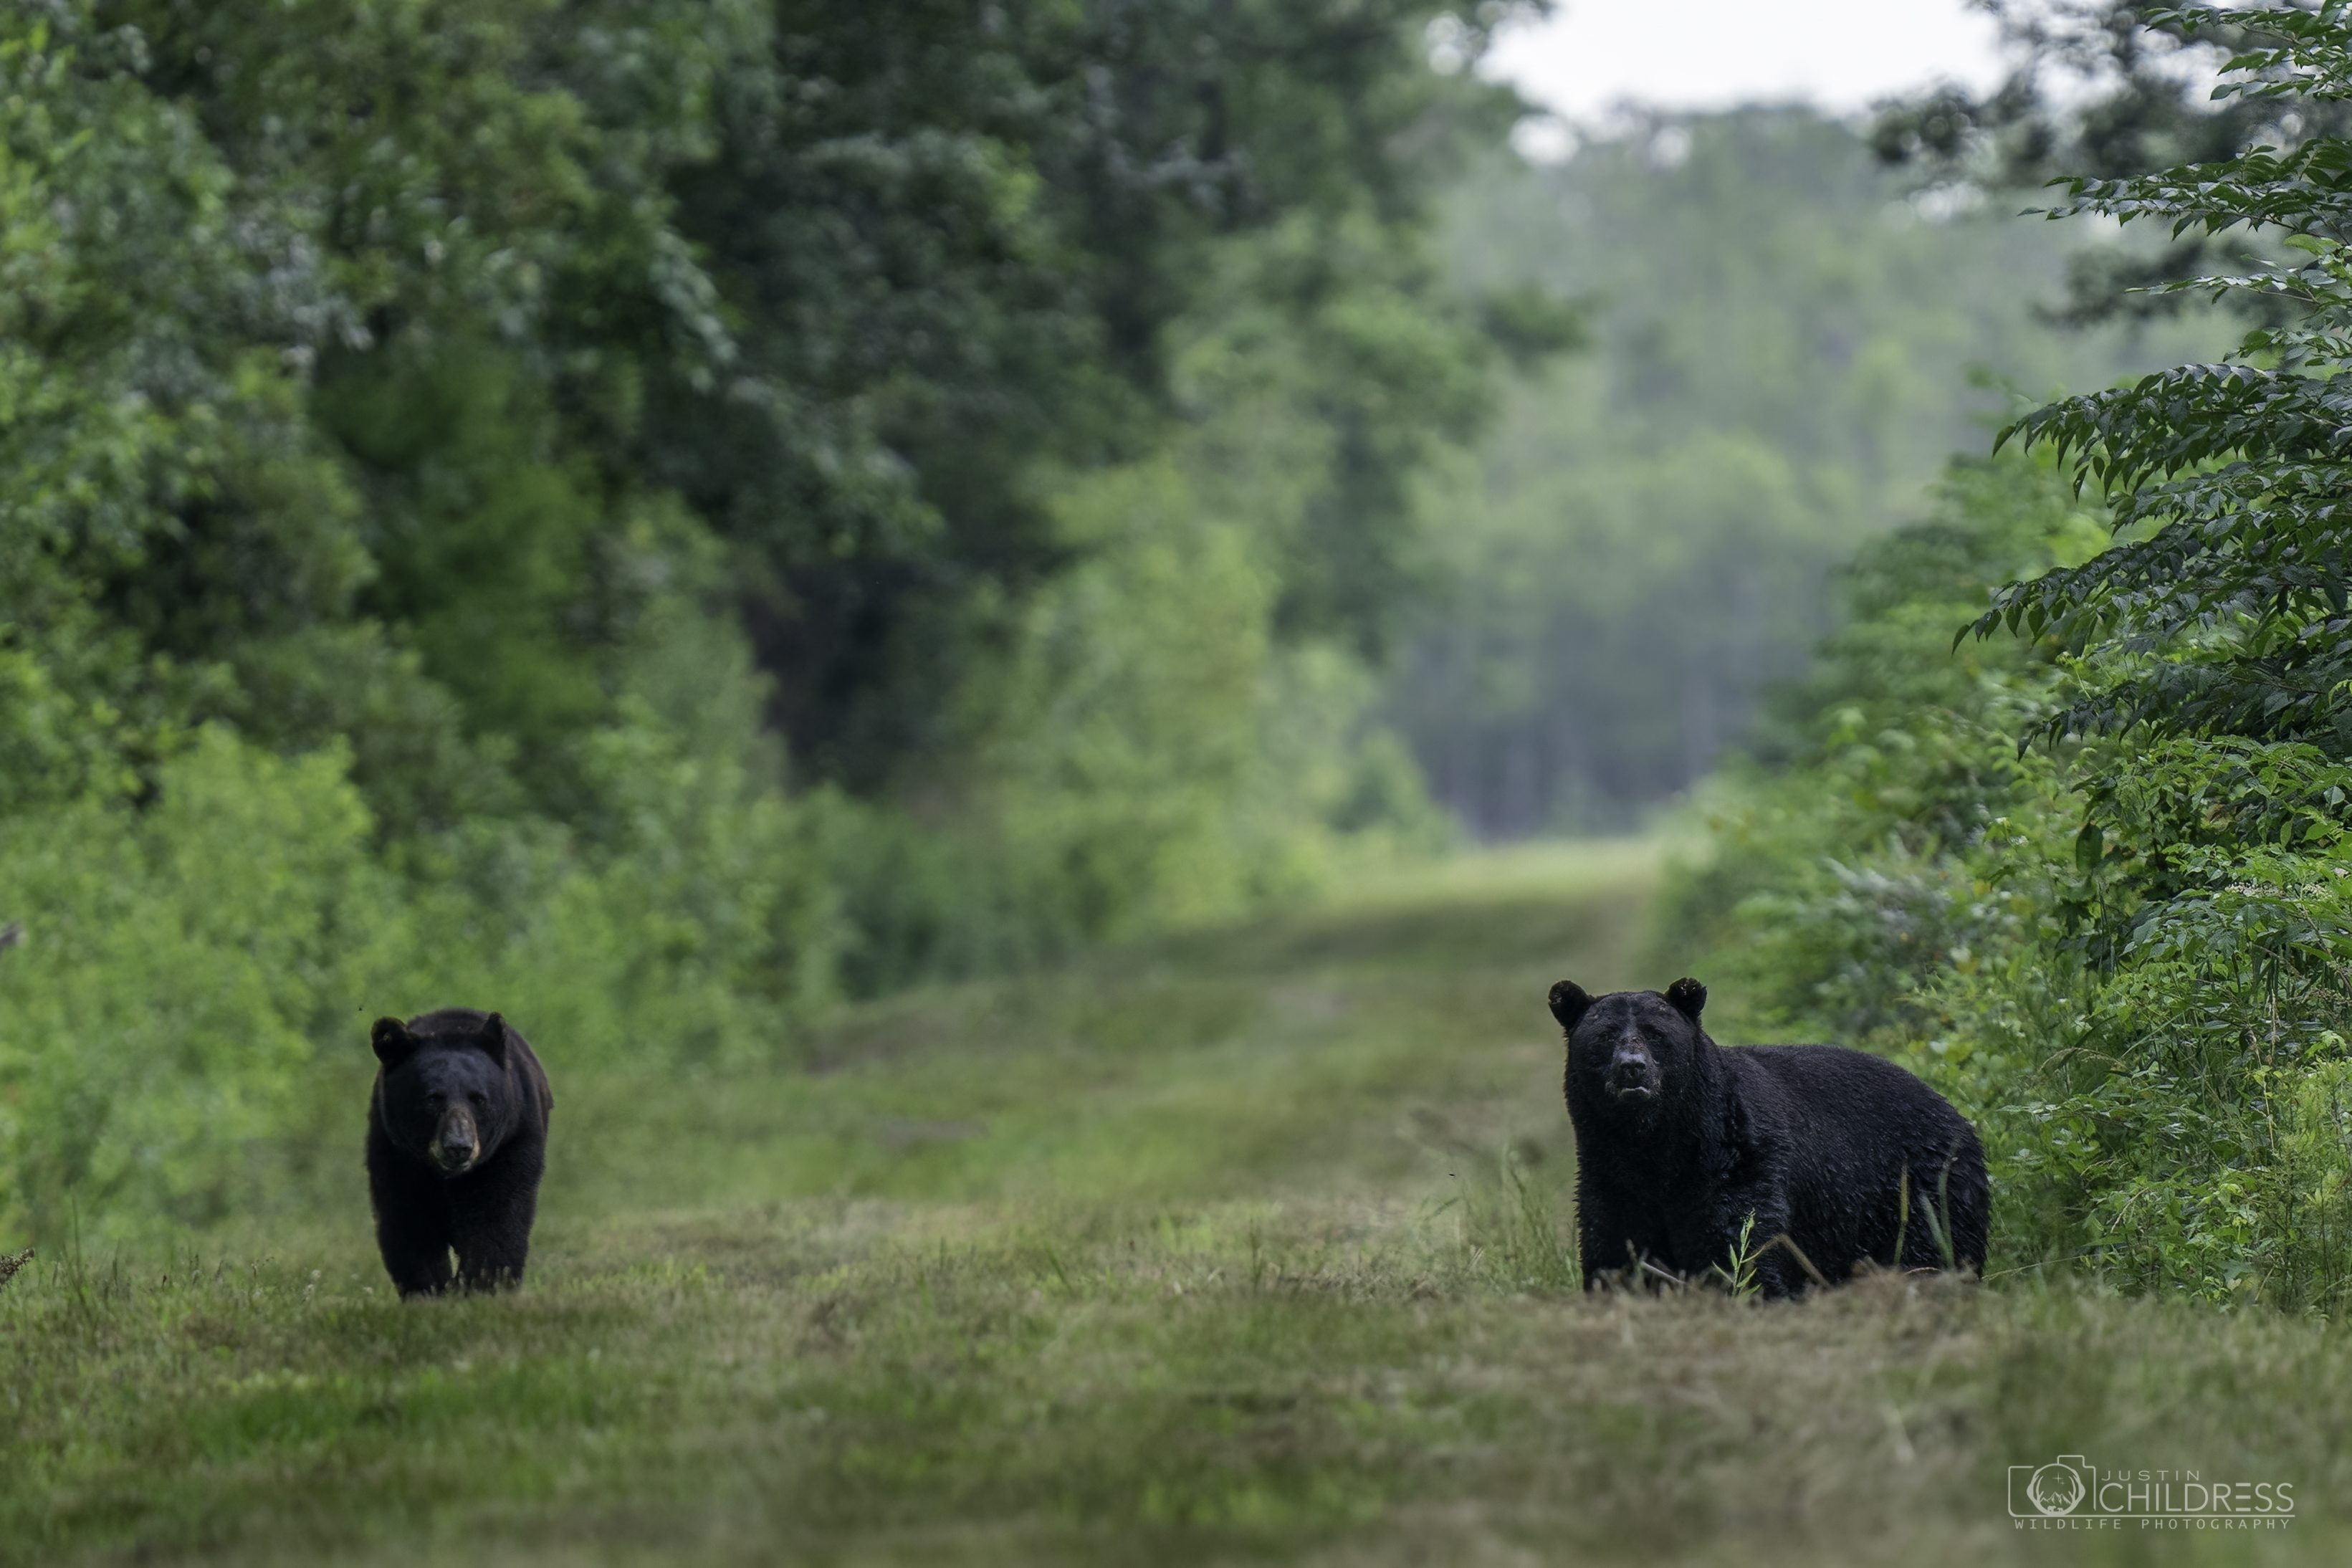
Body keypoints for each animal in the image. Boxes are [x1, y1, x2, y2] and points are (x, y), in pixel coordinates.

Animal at [364, 1010, 553, 1297]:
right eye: (432, 1099)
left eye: (479, 1099)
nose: (458, 1147)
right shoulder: (395, 1152)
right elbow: (409, 1216)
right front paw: (428, 1288)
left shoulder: (510, 1142)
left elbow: (496, 1213)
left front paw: (484, 1283)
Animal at [1552, 983, 1994, 1297]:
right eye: (1606, 1035)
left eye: (1656, 1033)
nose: (1633, 1069)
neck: (1658, 1139)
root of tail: (1959, 1116)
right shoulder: (1608, 1171)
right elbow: (1613, 1241)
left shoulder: (1738, 1158)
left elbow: (1740, 1235)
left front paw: (1748, 1289)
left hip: (1920, 1185)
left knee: (1935, 1242)